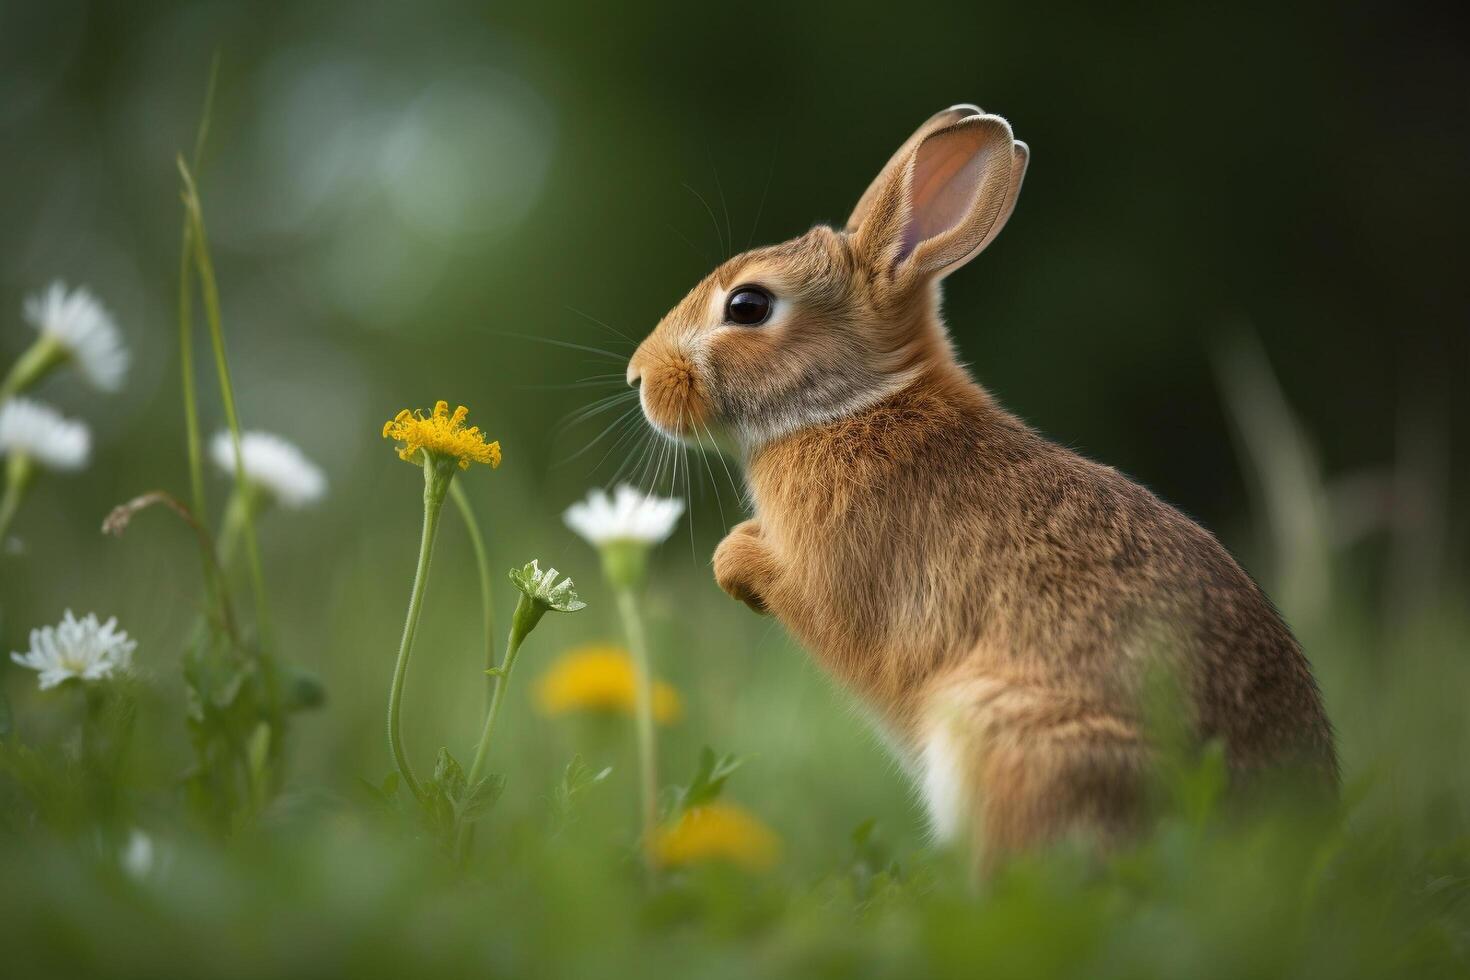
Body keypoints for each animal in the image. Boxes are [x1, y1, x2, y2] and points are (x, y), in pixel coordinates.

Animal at [626, 103, 1340, 863]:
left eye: (748, 306)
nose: (639, 377)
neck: (855, 405)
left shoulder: (837, 578)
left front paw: (731, 558)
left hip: (1002, 739)